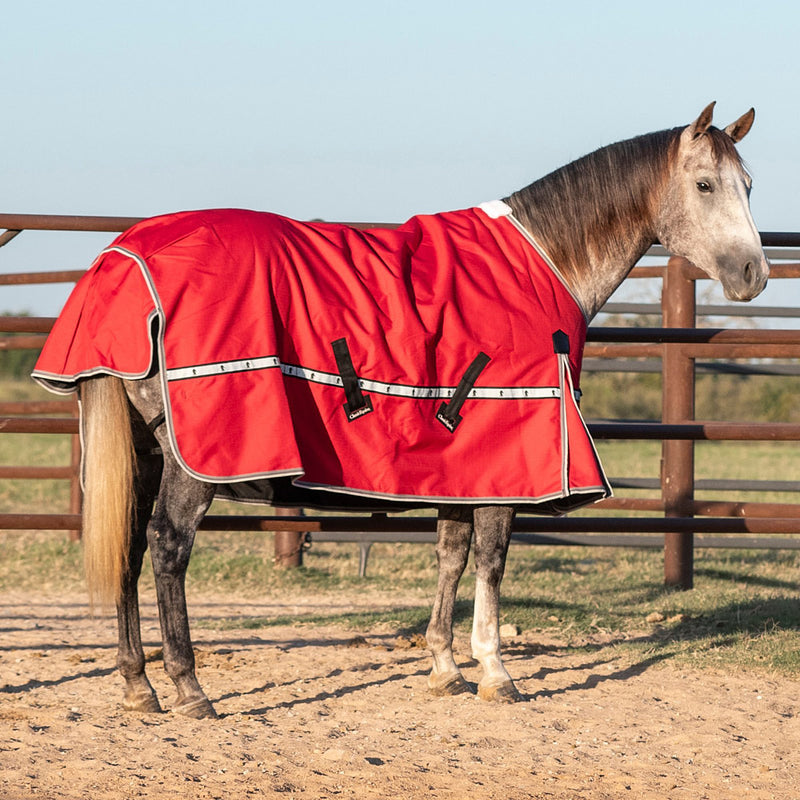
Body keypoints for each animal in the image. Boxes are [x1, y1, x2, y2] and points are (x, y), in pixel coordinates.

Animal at [33, 102, 768, 719]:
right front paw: (496, 673)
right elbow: (492, 559)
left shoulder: (463, 464)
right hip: (196, 458)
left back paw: (138, 684)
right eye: (706, 185)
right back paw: (189, 688)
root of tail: (124, 262)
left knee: (128, 548)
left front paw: (444, 667)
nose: (753, 275)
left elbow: (451, 553)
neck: (544, 262)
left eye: (749, 185)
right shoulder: (508, 459)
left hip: (144, 447)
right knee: (167, 547)